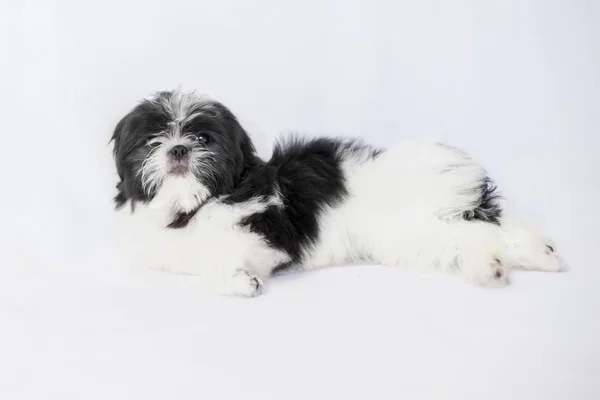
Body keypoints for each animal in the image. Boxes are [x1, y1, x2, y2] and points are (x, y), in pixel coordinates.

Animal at [110, 90, 564, 296]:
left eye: (203, 138)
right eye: (151, 141)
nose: (178, 149)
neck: (187, 208)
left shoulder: (268, 233)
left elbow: (230, 250)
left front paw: (242, 280)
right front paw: (237, 279)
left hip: (426, 210)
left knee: (492, 228)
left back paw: (539, 257)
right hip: (414, 234)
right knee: (475, 236)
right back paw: (499, 266)